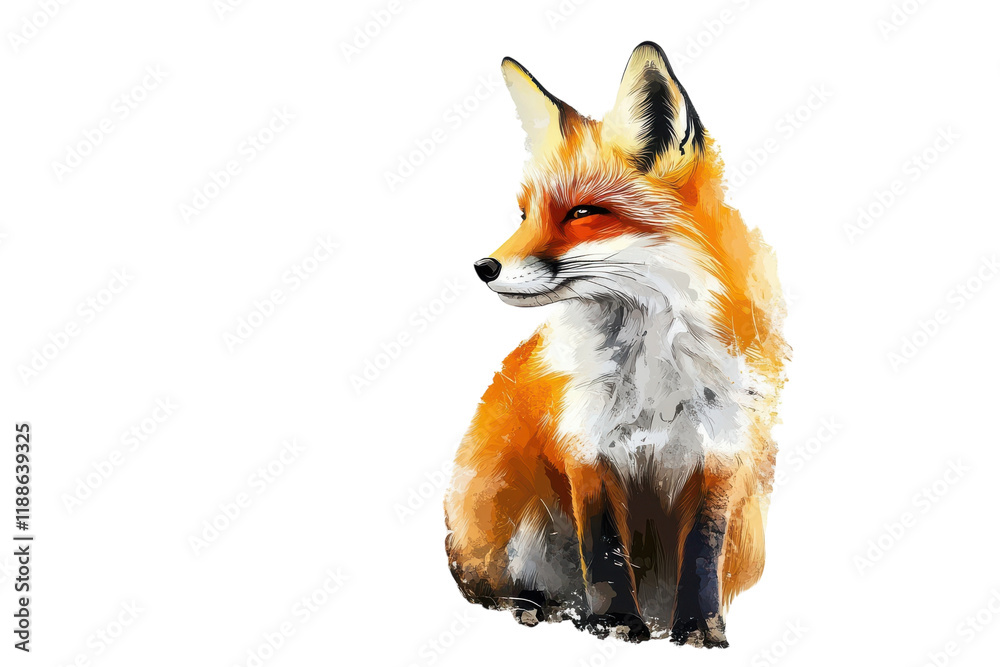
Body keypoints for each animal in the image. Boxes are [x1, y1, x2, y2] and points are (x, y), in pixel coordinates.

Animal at [444, 42, 788, 648]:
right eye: (525, 214)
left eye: (582, 212)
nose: (485, 267)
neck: (653, 367)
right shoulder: (588, 445)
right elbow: (603, 551)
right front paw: (616, 624)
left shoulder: (723, 450)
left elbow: (704, 554)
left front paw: (700, 631)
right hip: (511, 518)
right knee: (487, 587)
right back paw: (536, 607)